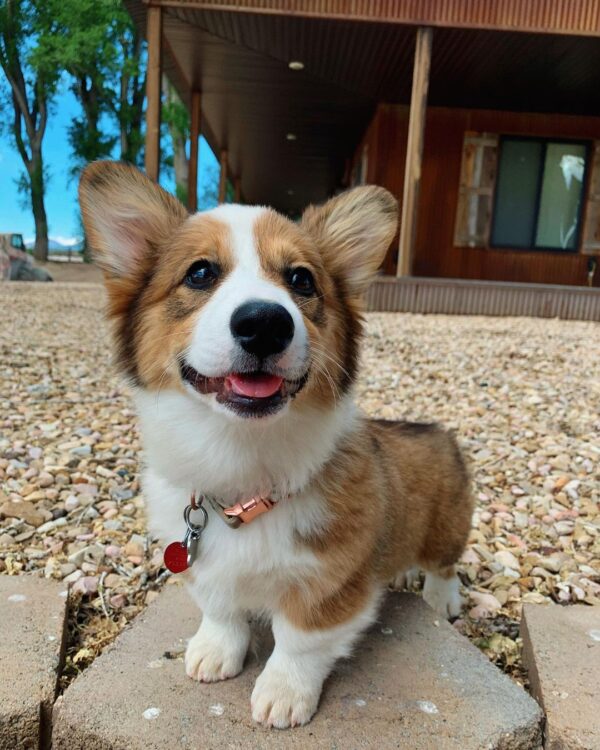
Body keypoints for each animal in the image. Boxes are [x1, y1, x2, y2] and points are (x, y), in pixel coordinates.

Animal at [79, 163, 474, 728]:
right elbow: (221, 611)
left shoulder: (331, 582)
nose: (265, 323)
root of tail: (435, 430)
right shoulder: (205, 565)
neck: (241, 460)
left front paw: (283, 693)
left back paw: (442, 599)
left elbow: (300, 639)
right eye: (200, 273)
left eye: (301, 279)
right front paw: (214, 651)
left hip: (447, 529)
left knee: (444, 565)